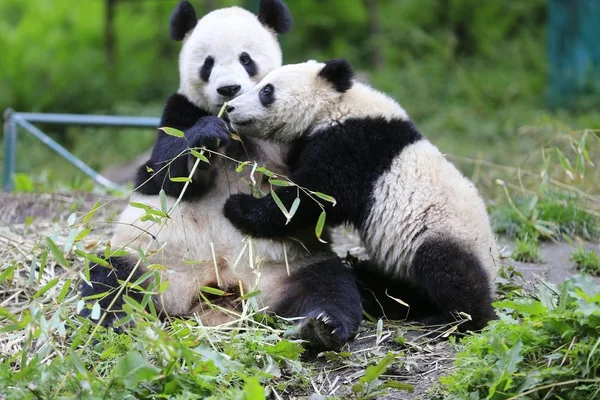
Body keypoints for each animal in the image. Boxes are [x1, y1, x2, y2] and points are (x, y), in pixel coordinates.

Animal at [79, 2, 360, 350]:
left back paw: (321, 326)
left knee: (331, 286)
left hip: (293, 262)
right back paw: (114, 323)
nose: (229, 90)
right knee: (111, 279)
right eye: (208, 63)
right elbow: (160, 174)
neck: (235, 127)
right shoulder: (179, 109)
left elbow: (310, 196)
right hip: (151, 262)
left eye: (246, 59)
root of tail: (218, 288)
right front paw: (206, 137)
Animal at [223, 57, 500, 330]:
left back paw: (454, 319)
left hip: (444, 235)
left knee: (449, 273)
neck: (334, 106)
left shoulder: (352, 144)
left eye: (266, 91)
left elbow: (316, 198)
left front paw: (239, 206)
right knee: (395, 287)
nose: (230, 109)